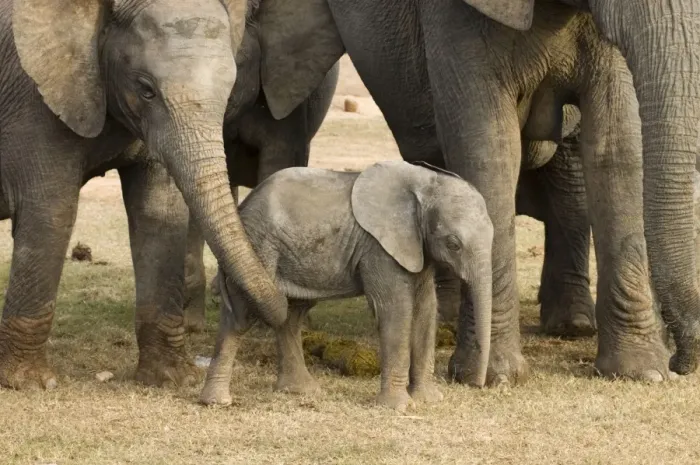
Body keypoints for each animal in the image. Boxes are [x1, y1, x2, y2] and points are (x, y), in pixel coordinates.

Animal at [0, 0, 343, 390]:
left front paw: (173, 378)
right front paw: (30, 383)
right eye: (146, 88)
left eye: (230, 89)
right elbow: (52, 210)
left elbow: (160, 214)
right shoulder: (36, 101)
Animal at [199, 161, 494, 412]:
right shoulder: (378, 247)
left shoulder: (416, 247)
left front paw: (428, 400)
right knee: (243, 315)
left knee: (291, 316)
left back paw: (300, 391)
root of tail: (243, 207)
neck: (425, 181)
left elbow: (426, 309)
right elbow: (395, 309)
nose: (476, 383)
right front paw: (398, 407)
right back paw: (217, 402)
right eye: (453, 244)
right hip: (258, 245)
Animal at [254, 0, 699, 384]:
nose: (681, 361)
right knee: (434, 151)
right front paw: (490, 377)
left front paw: (643, 373)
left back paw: (572, 325)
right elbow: (488, 147)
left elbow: (618, 143)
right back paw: (449, 321)